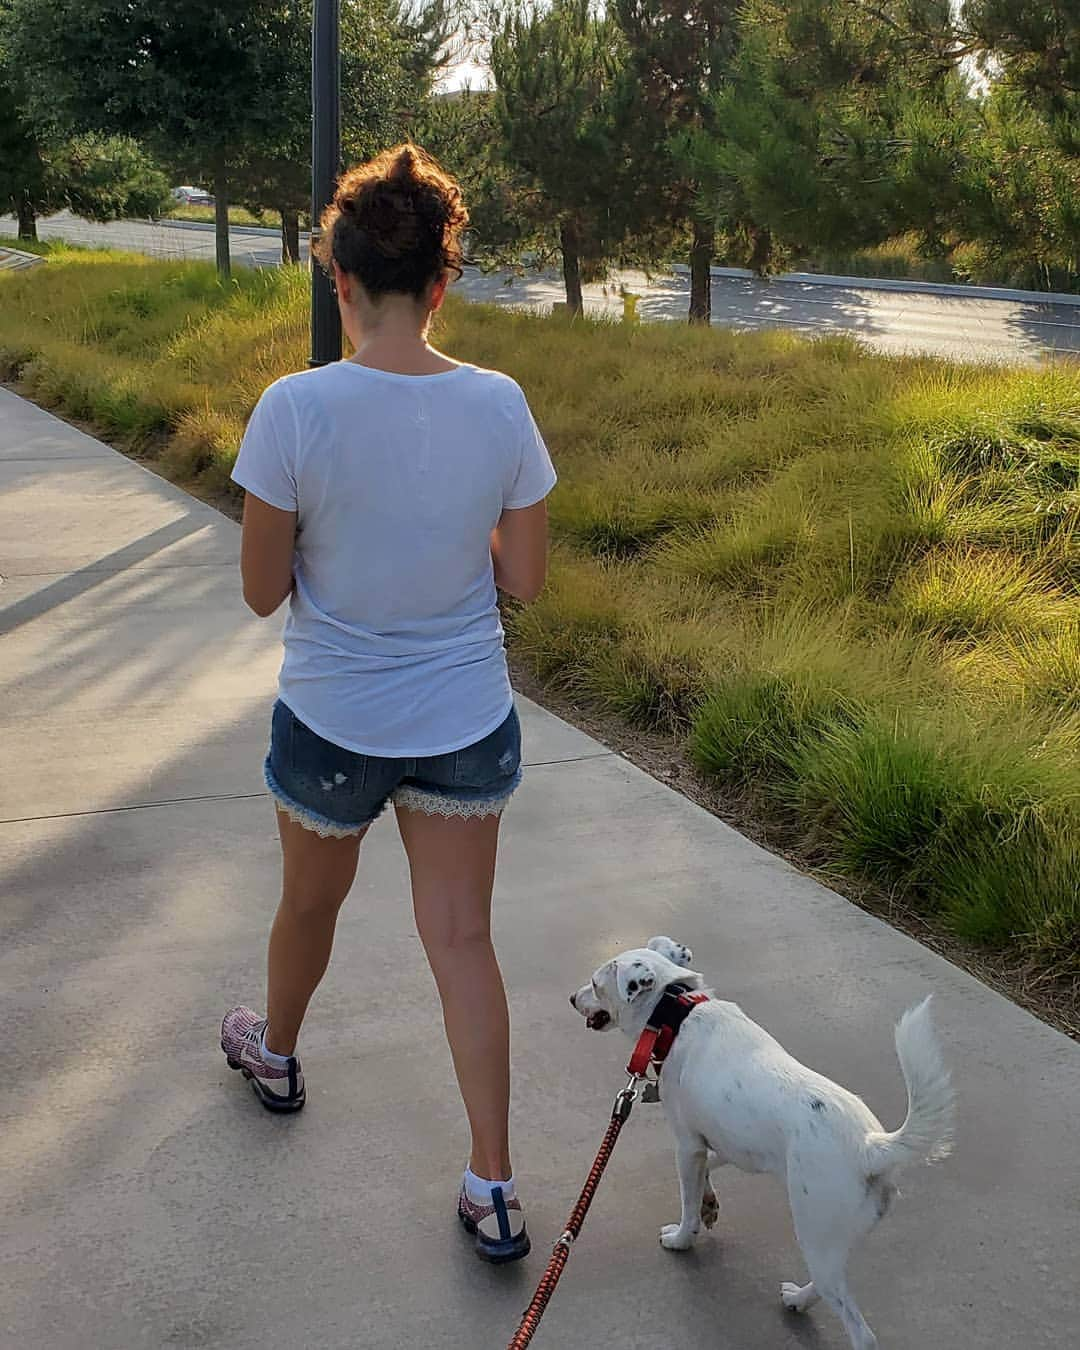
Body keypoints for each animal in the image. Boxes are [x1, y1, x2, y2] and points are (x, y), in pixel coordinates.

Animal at [572, 939, 955, 1350]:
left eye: (594, 984)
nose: (571, 999)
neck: (677, 1011)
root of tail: (872, 1147)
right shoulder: (726, 1144)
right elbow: (708, 1172)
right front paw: (710, 1204)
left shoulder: (687, 1145)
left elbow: (688, 1203)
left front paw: (681, 1238)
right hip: (832, 1242)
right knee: (830, 1286)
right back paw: (797, 1298)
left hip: (816, 1231)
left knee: (859, 1330)